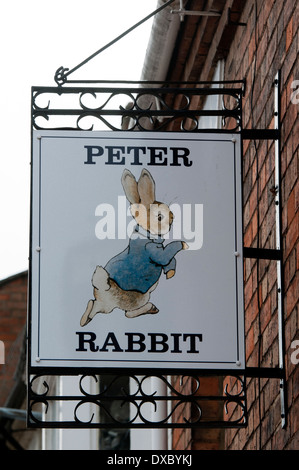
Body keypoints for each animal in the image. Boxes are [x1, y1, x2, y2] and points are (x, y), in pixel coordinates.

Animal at [81, 169, 189, 326]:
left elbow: (170, 261)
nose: (173, 217)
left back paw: (84, 319)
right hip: (138, 298)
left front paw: (170, 273)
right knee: (128, 314)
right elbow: (168, 253)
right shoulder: (154, 252)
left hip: (106, 305)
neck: (147, 234)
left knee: (93, 305)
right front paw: (184, 244)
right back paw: (151, 308)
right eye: (159, 217)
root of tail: (104, 288)